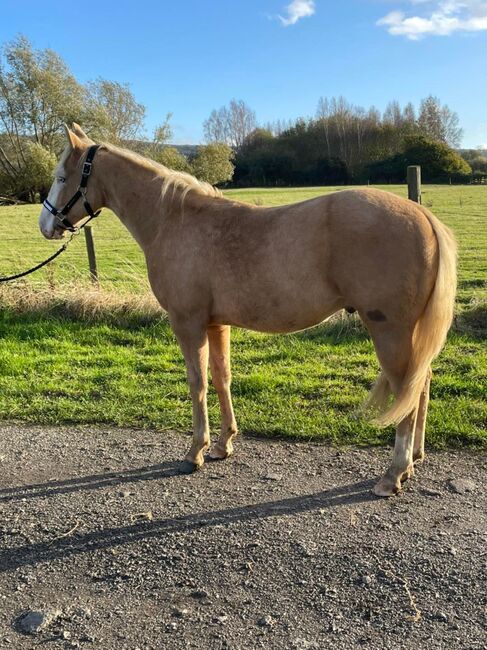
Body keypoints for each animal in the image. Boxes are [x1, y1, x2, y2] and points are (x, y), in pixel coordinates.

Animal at [38, 123, 458, 496]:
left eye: (62, 176)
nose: (46, 224)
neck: (175, 220)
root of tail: (423, 216)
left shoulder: (187, 323)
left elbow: (197, 383)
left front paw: (195, 452)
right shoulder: (216, 324)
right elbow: (221, 378)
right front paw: (223, 444)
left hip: (390, 332)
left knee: (408, 391)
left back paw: (393, 474)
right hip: (408, 334)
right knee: (421, 383)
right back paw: (415, 458)